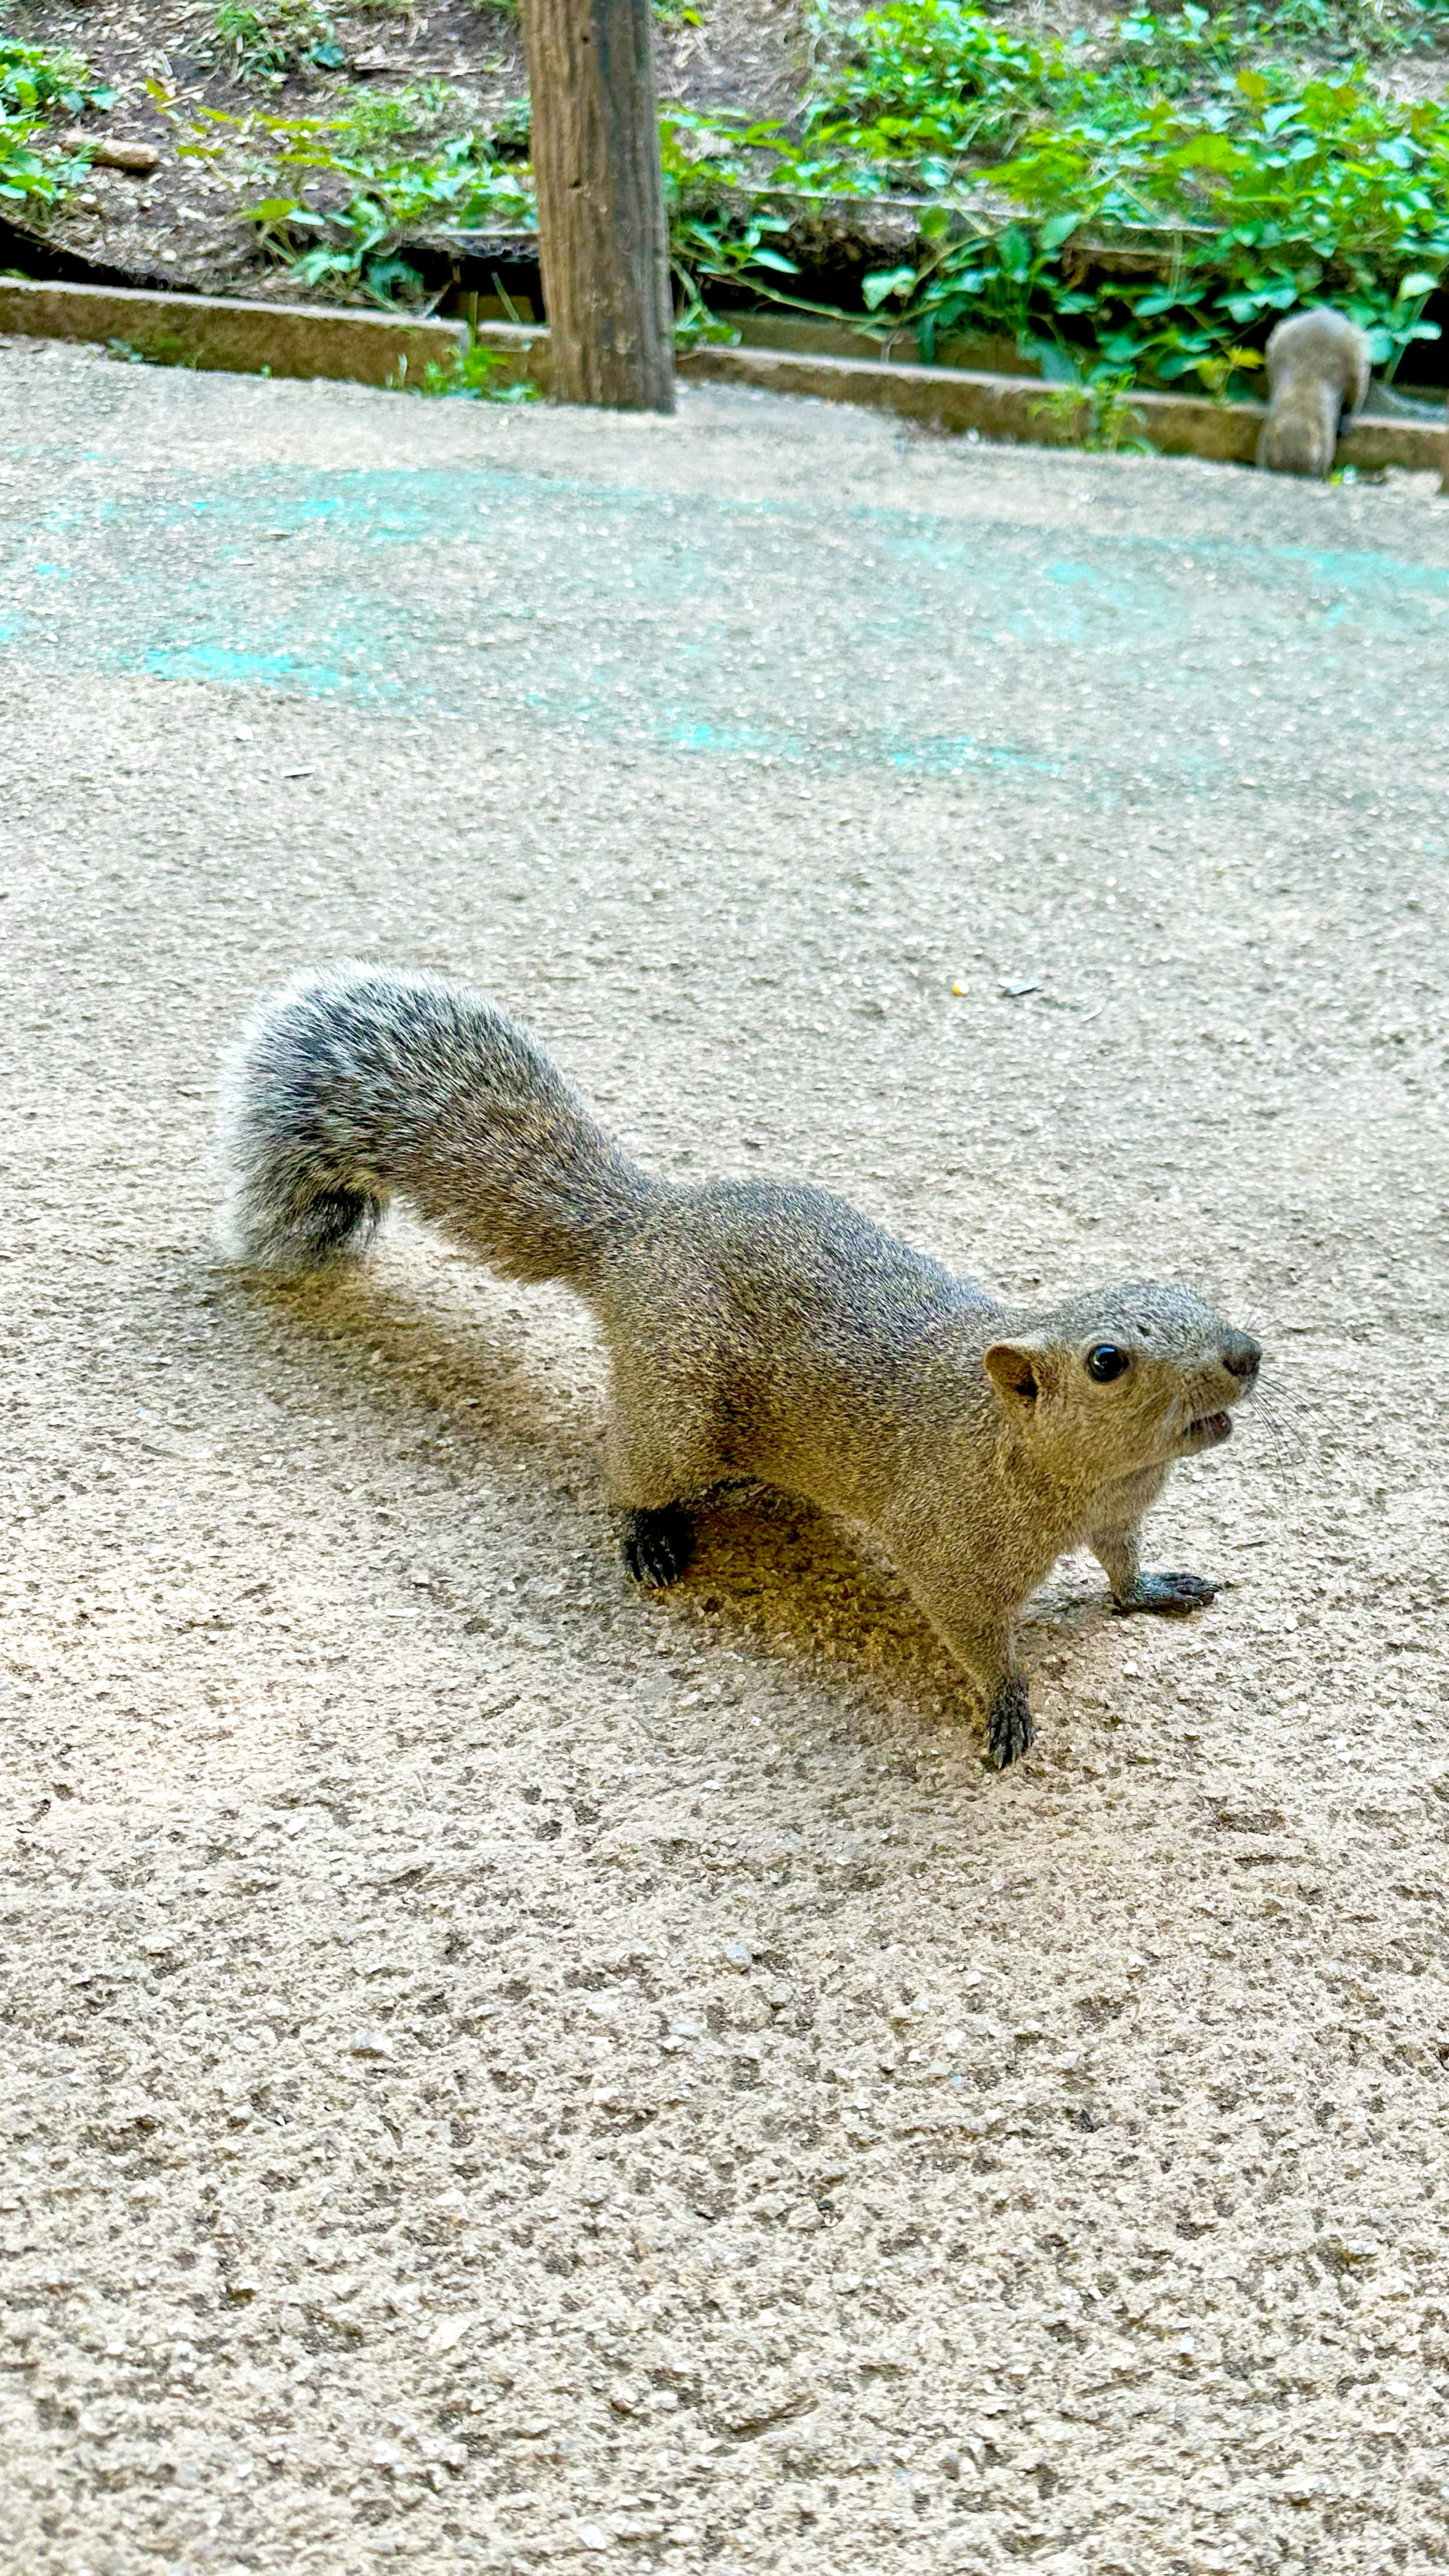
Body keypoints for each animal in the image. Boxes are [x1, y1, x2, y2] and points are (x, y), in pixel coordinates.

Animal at [211, 968, 1253, 1772]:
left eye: (1195, 1292)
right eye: (1107, 1361)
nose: (1244, 1355)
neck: (1057, 1467)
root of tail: (639, 1232)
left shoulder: (1117, 1512)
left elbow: (1121, 1566)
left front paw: (1152, 1590)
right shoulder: (947, 1550)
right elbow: (974, 1635)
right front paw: (1006, 1702)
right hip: (676, 1414)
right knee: (627, 1468)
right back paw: (647, 1534)